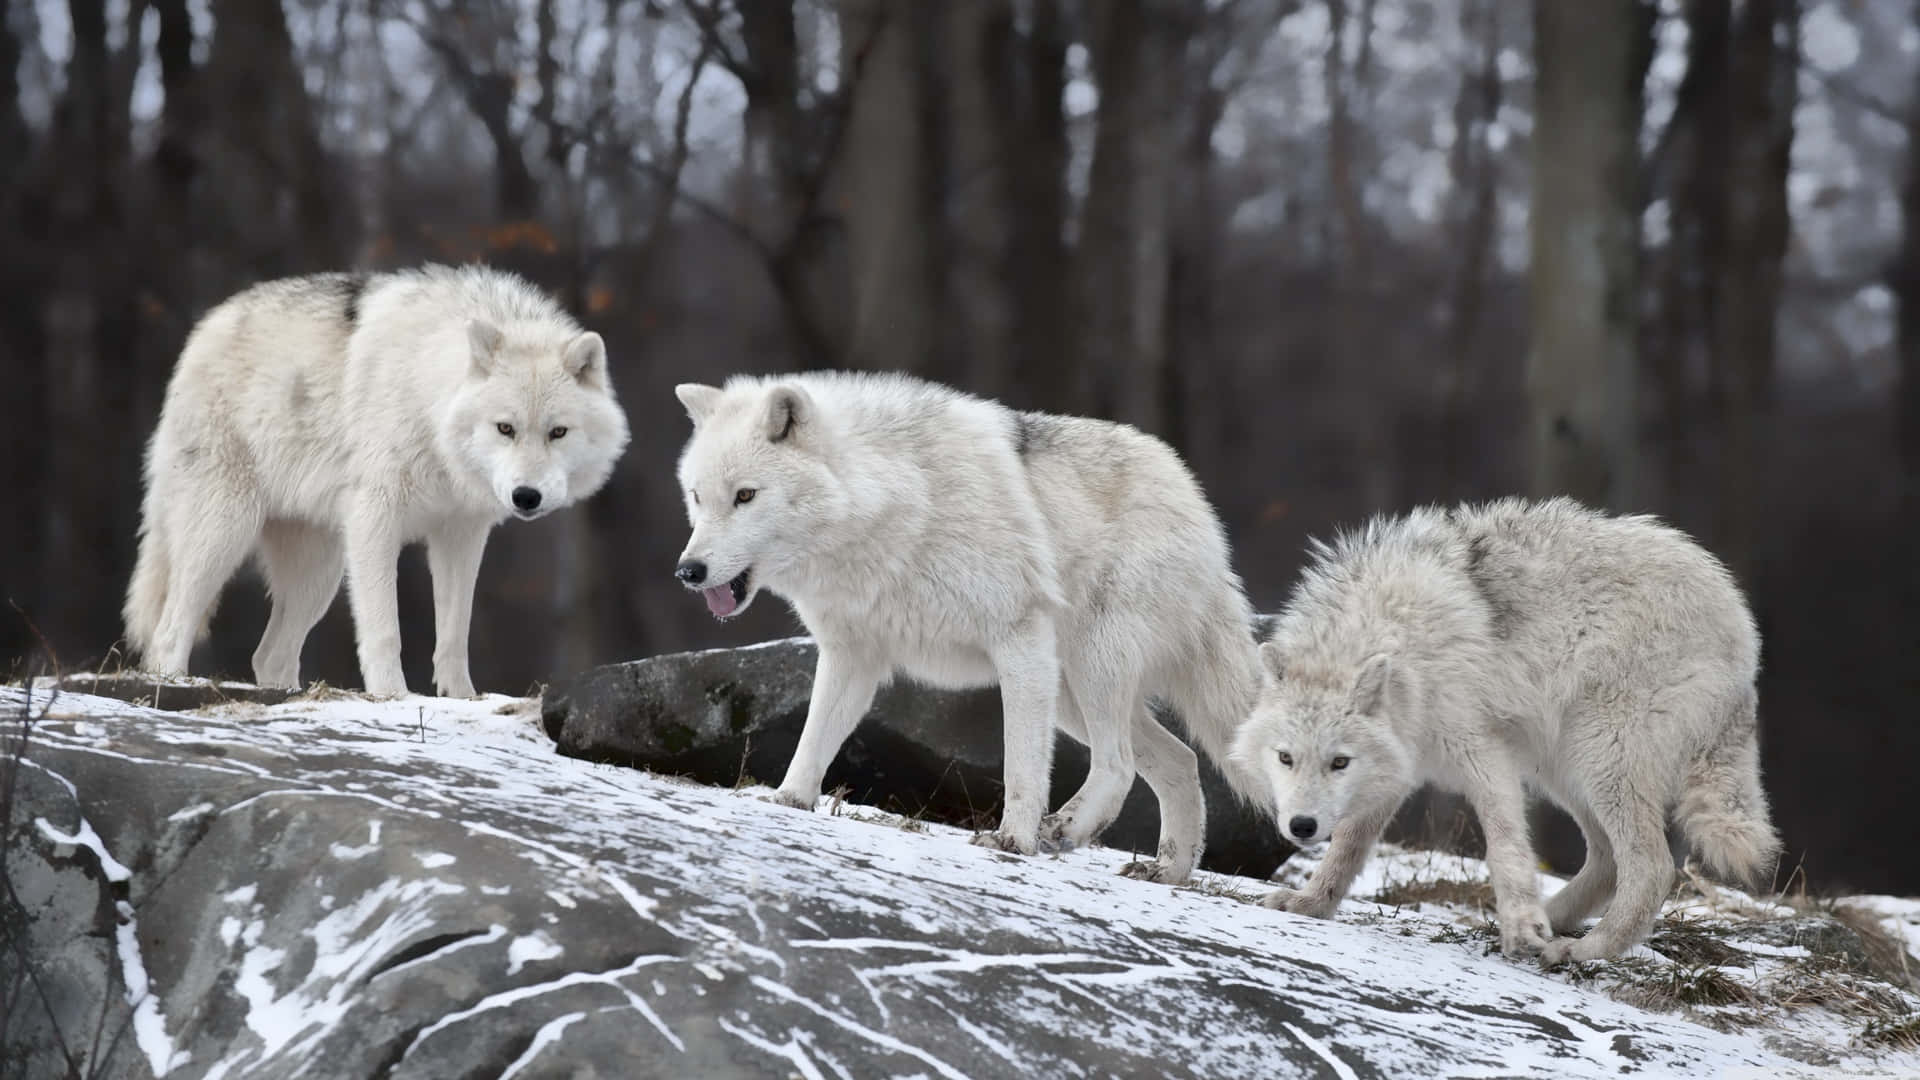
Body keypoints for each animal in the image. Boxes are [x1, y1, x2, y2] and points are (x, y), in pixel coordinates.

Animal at [121, 265, 629, 691]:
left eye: (558, 432)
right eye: (505, 428)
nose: (526, 496)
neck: (427, 396)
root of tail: (204, 329)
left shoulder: (461, 534)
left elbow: (454, 636)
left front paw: (461, 699)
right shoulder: (375, 519)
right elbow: (386, 630)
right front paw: (393, 696)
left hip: (318, 574)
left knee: (269, 656)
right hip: (225, 533)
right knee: (169, 630)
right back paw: (173, 683)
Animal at [672, 367, 1259, 876]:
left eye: (746, 495)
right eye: (697, 497)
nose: (688, 571)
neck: (895, 507)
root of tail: (1196, 501)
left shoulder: (1018, 640)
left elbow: (1021, 763)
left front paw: (1013, 839)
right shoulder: (851, 656)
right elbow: (814, 739)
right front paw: (788, 801)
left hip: (1090, 668)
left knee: (1119, 764)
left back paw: (1065, 831)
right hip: (1071, 694)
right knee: (1180, 760)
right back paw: (1167, 872)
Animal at [1228, 495, 1781, 957]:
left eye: (1339, 762)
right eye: (1285, 758)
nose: (1301, 827)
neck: (1401, 641)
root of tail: (1742, 624)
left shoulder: (1483, 752)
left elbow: (1505, 846)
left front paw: (1522, 926)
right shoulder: (1399, 766)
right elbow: (1347, 848)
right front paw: (1310, 904)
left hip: (1599, 759)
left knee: (1651, 868)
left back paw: (1585, 950)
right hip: (1564, 768)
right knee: (1606, 861)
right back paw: (1551, 922)